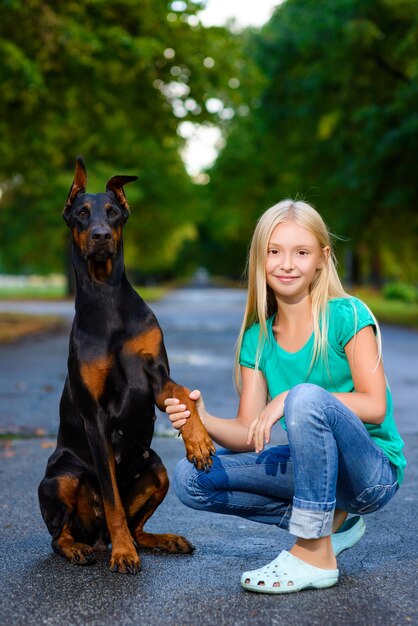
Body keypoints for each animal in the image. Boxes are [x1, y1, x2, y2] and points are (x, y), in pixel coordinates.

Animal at [37, 155, 216, 572]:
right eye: (81, 213)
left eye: (114, 213)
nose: (101, 235)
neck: (107, 302)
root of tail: (96, 535)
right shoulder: (95, 416)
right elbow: (112, 498)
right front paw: (122, 555)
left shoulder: (156, 376)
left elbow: (182, 392)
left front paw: (199, 441)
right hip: (59, 477)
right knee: (59, 534)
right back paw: (83, 548)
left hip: (157, 469)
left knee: (139, 527)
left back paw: (163, 540)